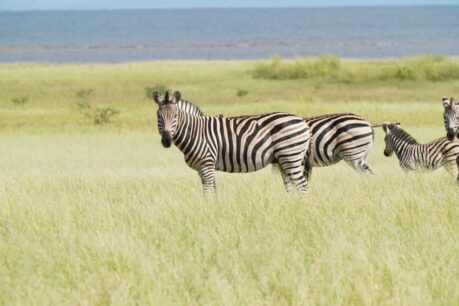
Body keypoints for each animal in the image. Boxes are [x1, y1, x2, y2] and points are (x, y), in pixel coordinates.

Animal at [154, 90, 312, 194]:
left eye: (175, 116)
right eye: (158, 116)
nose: (167, 140)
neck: (195, 133)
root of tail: (302, 121)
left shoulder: (206, 165)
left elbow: (208, 192)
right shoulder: (203, 168)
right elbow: (212, 192)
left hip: (290, 156)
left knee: (302, 185)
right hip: (282, 160)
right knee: (292, 186)